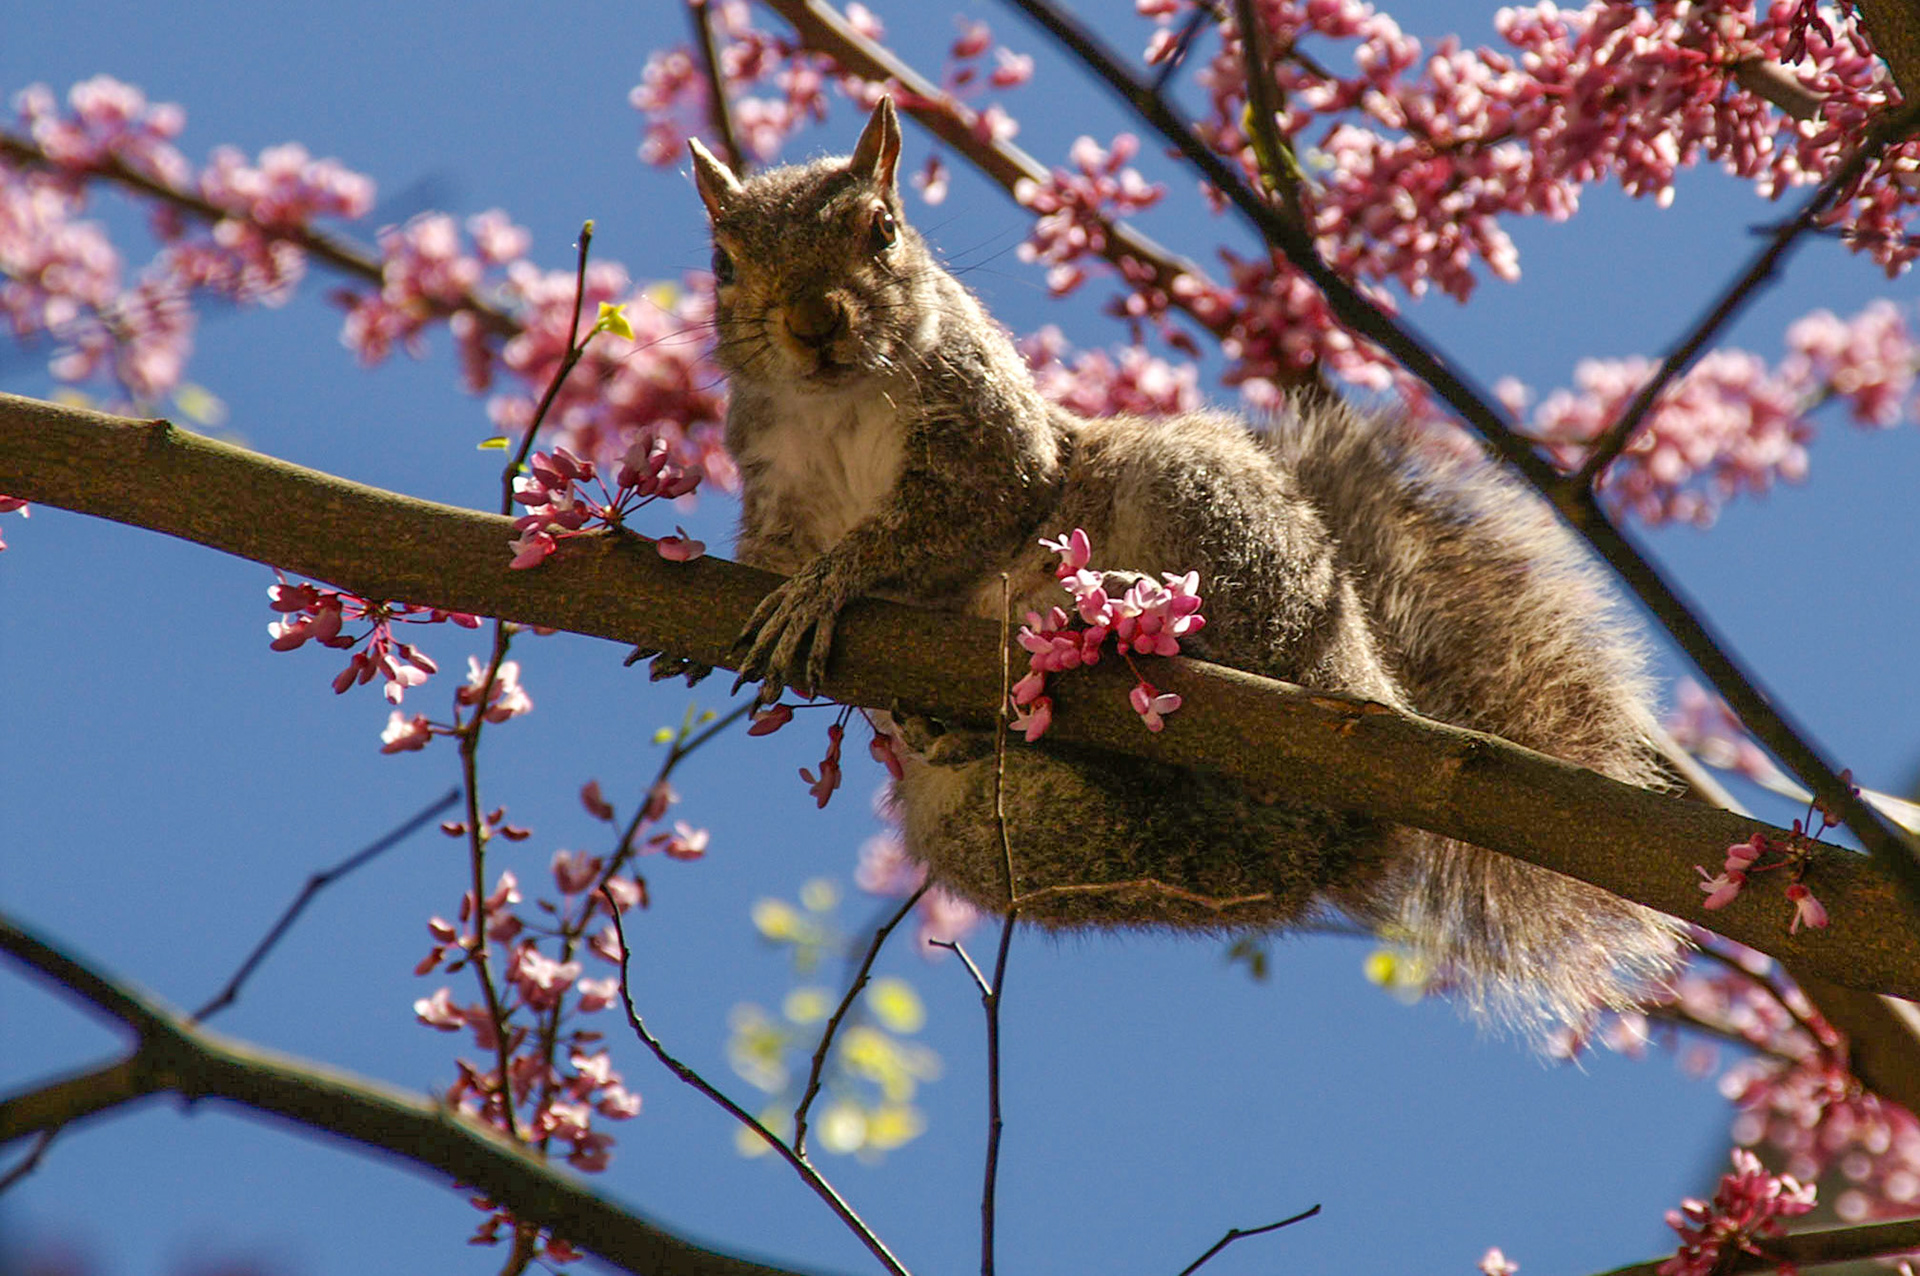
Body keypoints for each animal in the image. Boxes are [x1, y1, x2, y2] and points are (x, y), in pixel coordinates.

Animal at [690, 97, 1681, 1034]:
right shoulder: (773, 487)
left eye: (883, 230)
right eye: (724, 264)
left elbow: (954, 515)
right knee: (1142, 827)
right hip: (1002, 835)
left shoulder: (990, 436)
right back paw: (977, 729)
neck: (838, 402)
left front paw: (829, 584)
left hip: (1211, 511)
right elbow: (764, 559)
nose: (813, 322)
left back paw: (1129, 628)